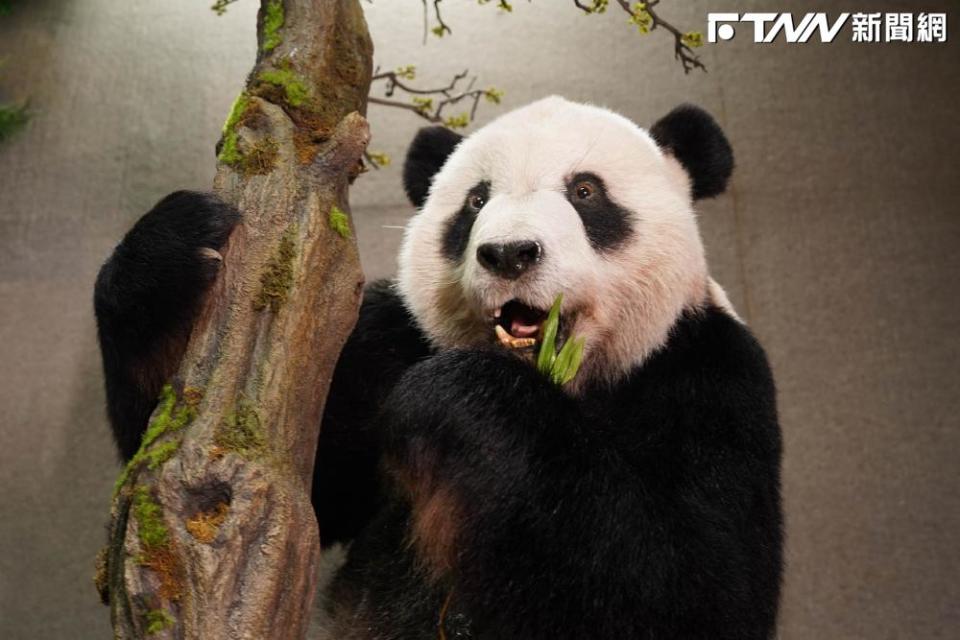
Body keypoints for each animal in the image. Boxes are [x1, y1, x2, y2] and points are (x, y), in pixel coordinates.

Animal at [94, 96, 780, 640]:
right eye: (475, 201)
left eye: (585, 192)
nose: (510, 253)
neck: (559, 376)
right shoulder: (386, 343)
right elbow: (245, 489)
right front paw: (170, 250)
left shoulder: (705, 375)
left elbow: (696, 590)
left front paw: (463, 399)